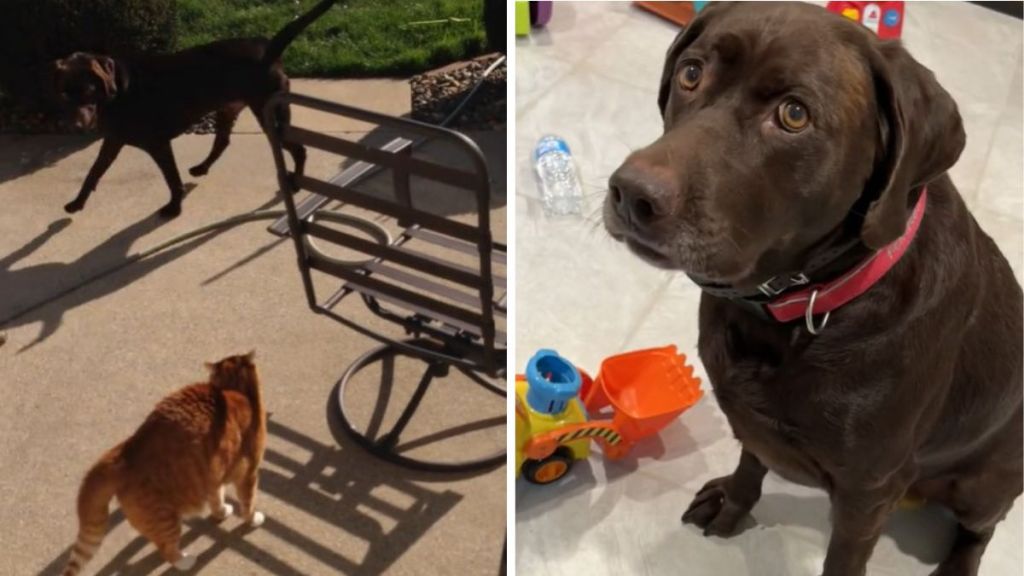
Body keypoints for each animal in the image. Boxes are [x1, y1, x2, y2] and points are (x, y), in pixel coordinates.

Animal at [61, 352, 266, 569]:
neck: (232, 391)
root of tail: (125, 453)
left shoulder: (214, 477)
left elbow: (217, 498)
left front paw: (222, 512)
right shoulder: (249, 474)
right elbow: (248, 503)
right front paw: (253, 519)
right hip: (166, 520)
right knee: (166, 550)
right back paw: (186, 561)